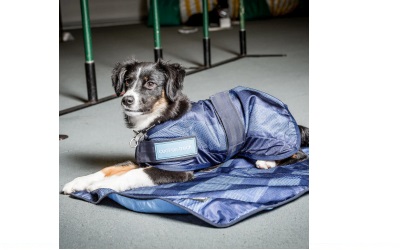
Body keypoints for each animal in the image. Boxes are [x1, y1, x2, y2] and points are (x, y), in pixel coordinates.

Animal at [61, 59, 310, 194]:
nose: (126, 100)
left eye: (150, 84)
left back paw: (266, 161)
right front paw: (79, 182)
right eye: (128, 82)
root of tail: (293, 120)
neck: (158, 121)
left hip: (264, 136)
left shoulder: (175, 168)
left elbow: (131, 176)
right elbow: (109, 168)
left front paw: (103, 186)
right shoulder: (142, 160)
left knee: (298, 153)